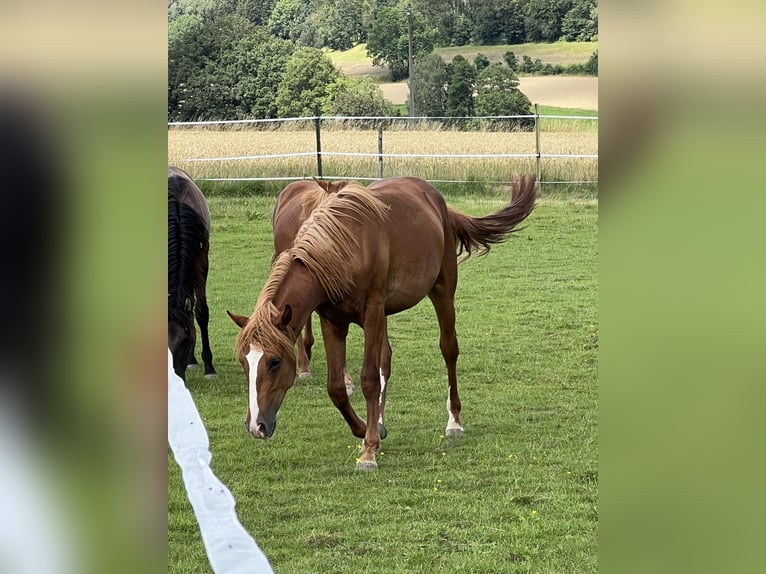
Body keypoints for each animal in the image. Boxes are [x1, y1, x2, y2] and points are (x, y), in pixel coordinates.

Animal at [231, 177, 536, 472]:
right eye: (244, 362)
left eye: (275, 362)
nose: (256, 426)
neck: (342, 250)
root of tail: (437, 201)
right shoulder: (333, 321)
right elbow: (336, 388)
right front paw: (367, 429)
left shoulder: (372, 312)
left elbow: (368, 378)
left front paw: (368, 451)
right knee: (386, 359)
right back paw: (378, 420)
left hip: (441, 291)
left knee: (448, 350)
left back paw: (454, 422)